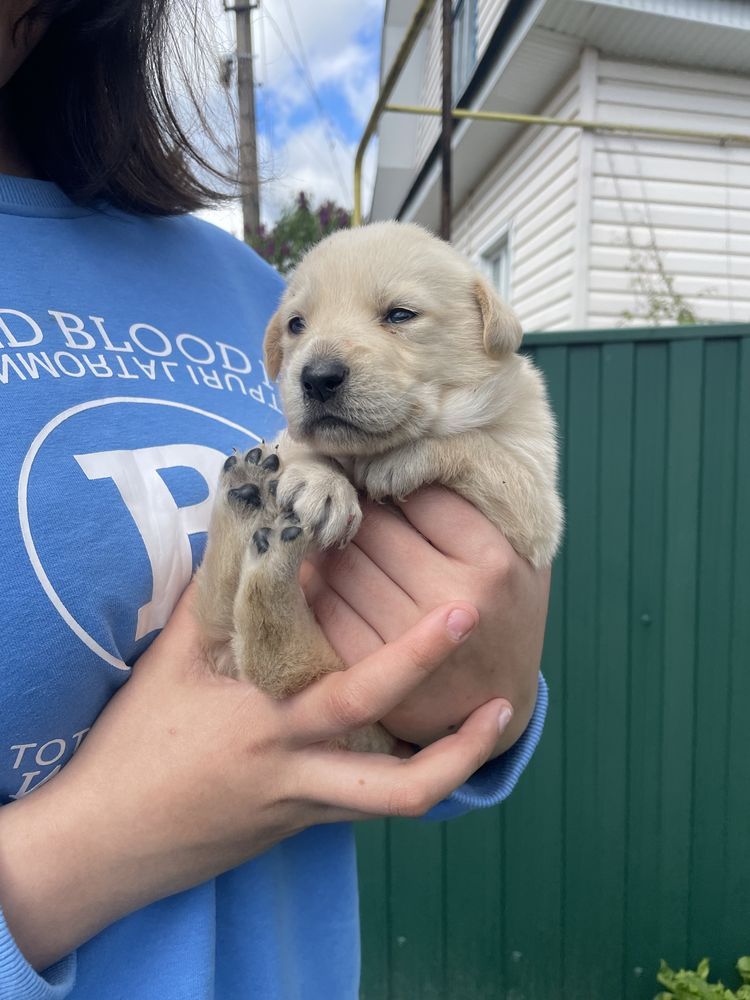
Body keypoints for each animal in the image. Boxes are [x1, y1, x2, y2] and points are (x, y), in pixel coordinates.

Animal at [197, 221, 560, 752]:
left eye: (400, 314)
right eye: (297, 325)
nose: (316, 377)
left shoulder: (535, 504)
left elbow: (480, 448)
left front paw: (400, 461)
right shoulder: (295, 435)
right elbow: (299, 443)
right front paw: (320, 483)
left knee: (271, 659)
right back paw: (247, 495)